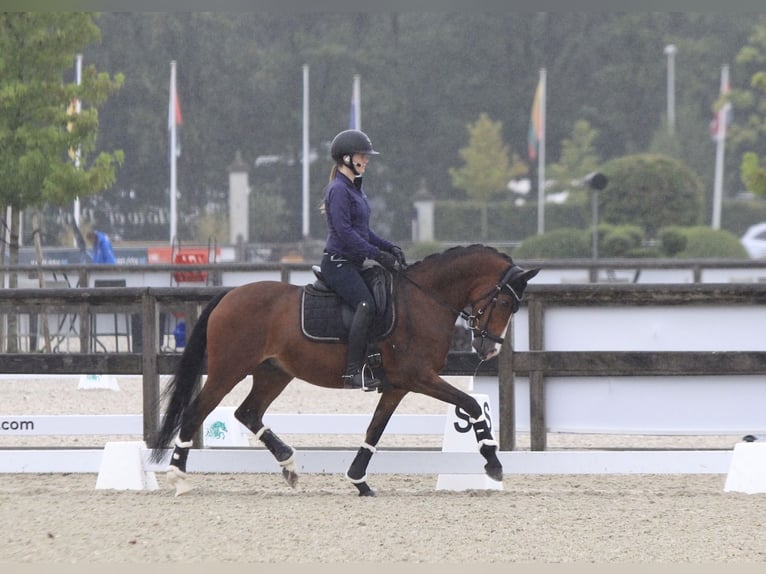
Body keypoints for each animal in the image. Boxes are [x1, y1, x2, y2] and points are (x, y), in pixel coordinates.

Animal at [150, 245, 540, 498]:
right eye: (506, 301)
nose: (489, 349)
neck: (425, 300)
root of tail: (228, 296)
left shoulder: (398, 385)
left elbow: (375, 429)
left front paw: (358, 481)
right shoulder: (419, 377)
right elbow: (471, 406)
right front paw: (493, 462)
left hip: (274, 372)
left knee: (247, 412)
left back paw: (289, 464)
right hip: (228, 370)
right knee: (196, 411)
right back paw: (177, 476)